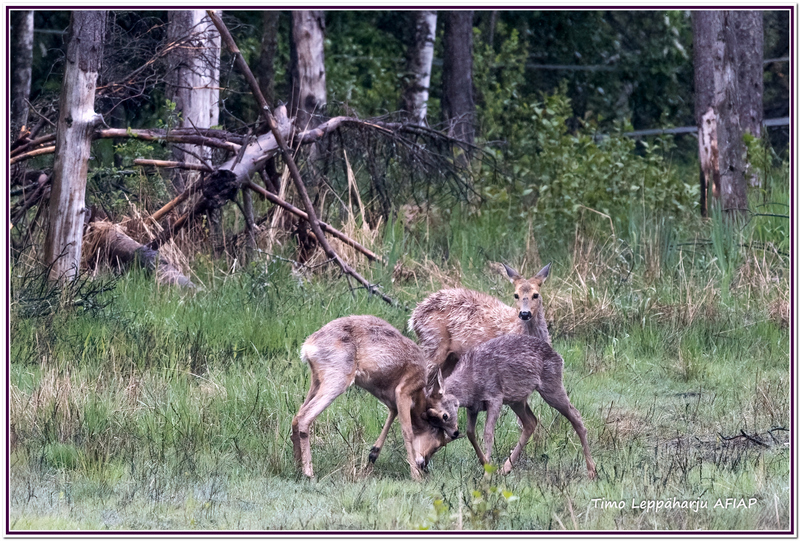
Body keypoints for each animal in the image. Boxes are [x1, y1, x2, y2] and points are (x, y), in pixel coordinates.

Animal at [291, 315, 460, 481]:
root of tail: (308, 345)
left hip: (316, 381)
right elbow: (407, 432)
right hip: (337, 381)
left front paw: (371, 459)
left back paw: (298, 466)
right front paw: (415, 476)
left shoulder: (392, 403)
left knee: (296, 417)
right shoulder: (403, 392)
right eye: (438, 443)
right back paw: (308, 472)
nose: (423, 465)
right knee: (305, 417)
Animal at [410, 263, 551, 376]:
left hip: (450, 358)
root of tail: (414, 316)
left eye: (536, 295)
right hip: (433, 343)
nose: (525, 314)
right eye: (516, 295)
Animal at [443, 334, 596, 479]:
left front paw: (487, 473)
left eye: (445, 415)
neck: (471, 382)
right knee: (531, 421)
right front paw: (486, 464)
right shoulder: (473, 407)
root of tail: (558, 356)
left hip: (551, 386)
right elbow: (470, 432)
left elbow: (488, 433)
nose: (453, 434)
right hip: (517, 399)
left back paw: (592, 470)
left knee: (575, 415)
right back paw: (505, 468)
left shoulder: (495, 397)